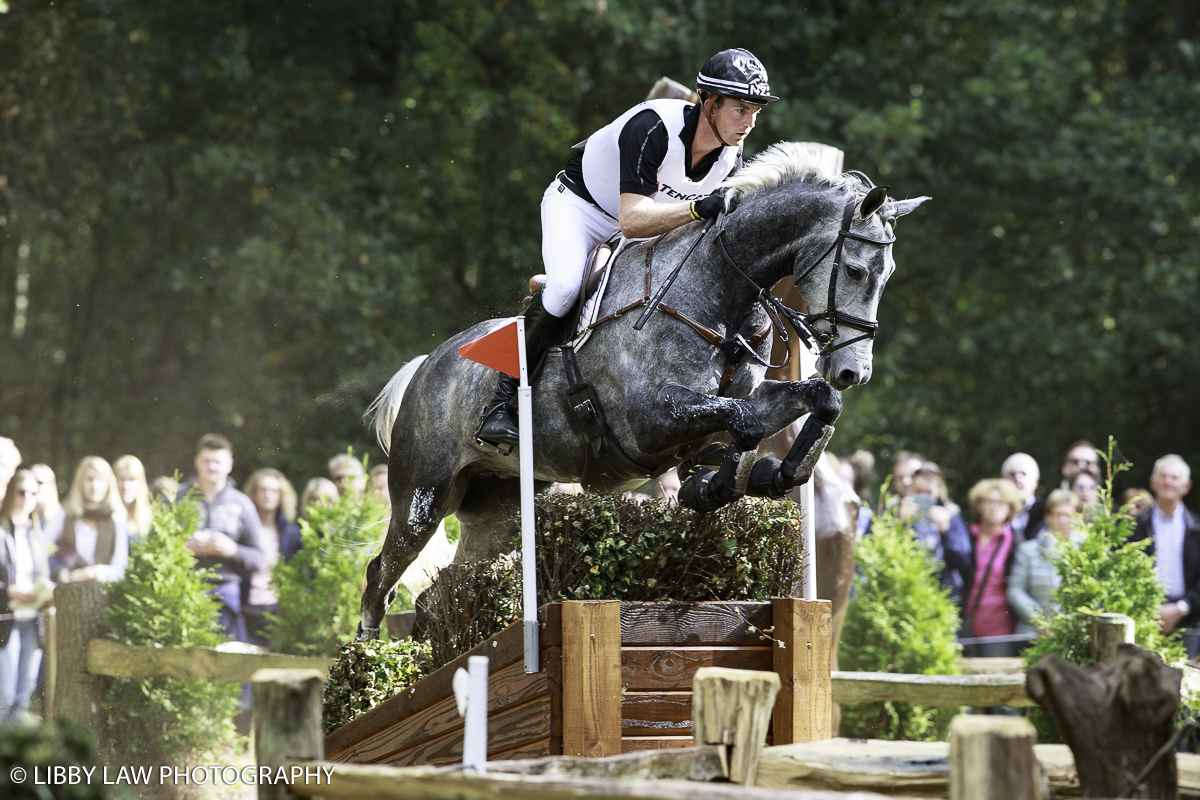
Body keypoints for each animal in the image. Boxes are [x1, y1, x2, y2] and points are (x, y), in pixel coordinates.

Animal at [355, 139, 926, 638]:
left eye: (889, 274)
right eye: (855, 270)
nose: (853, 372)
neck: (722, 293)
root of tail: (426, 366)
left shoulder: (732, 404)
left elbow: (810, 403)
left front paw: (772, 473)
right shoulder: (649, 420)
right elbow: (743, 422)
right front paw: (726, 482)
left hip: (499, 510)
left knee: (441, 591)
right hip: (423, 495)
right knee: (380, 576)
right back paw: (368, 665)